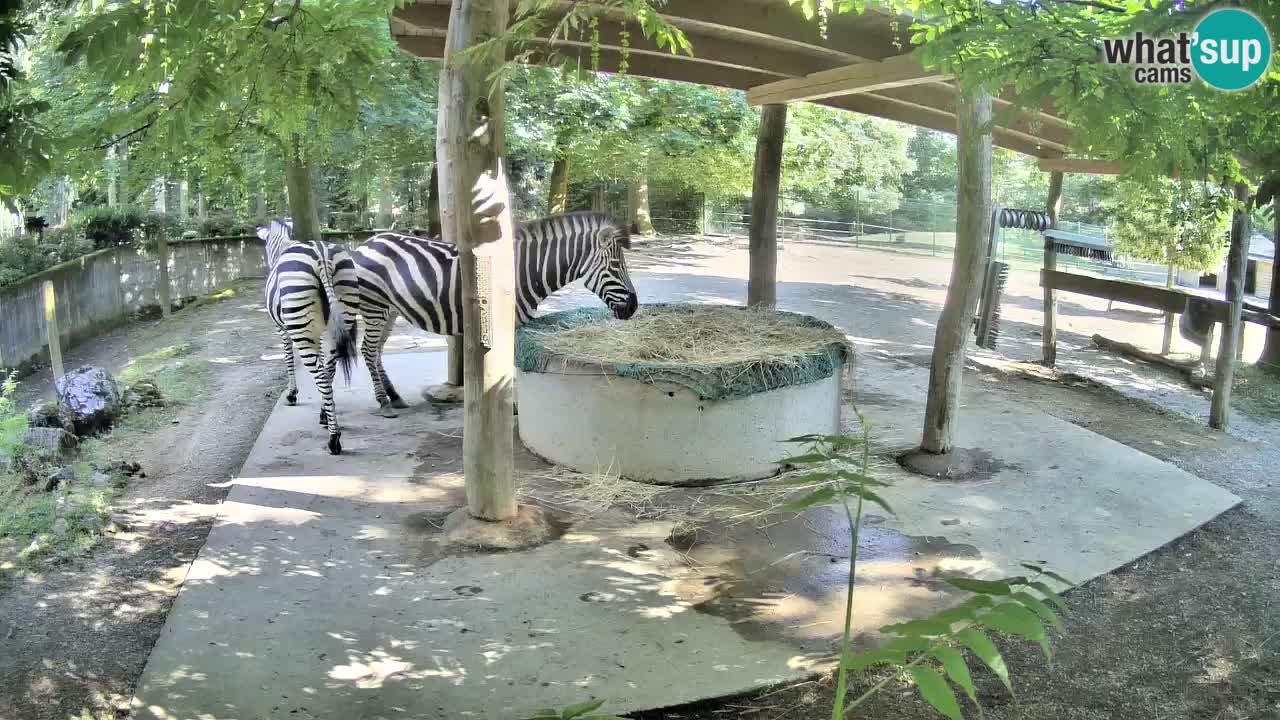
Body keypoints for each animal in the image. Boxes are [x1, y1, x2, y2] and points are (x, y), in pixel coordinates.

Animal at [261, 222, 361, 454]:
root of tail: (321, 254)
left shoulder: (282, 329)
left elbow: (288, 359)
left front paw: (292, 394)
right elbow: (327, 366)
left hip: (301, 329)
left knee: (321, 375)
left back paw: (334, 439)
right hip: (343, 312)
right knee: (329, 370)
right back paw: (326, 417)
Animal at [351, 212, 639, 413]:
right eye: (616, 265)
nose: (634, 307)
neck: (526, 271)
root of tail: (367, 242)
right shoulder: (508, 323)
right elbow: (509, 368)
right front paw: (511, 405)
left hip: (390, 309)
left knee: (376, 351)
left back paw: (395, 397)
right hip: (374, 305)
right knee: (367, 349)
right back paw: (384, 402)